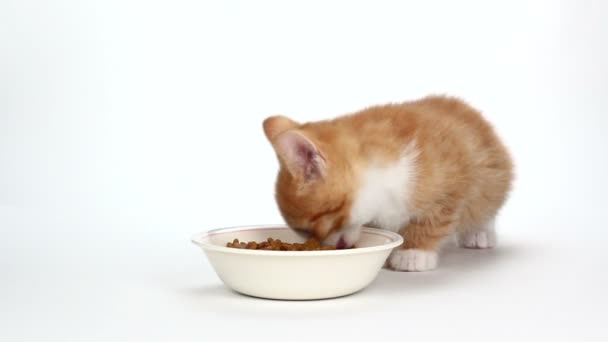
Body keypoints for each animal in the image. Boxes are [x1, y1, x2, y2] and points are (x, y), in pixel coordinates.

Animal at [262, 95, 512, 272]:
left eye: (308, 229)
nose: (327, 247)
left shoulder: (450, 186)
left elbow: (432, 220)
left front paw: (414, 251)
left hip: (491, 176)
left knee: (485, 204)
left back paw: (479, 233)